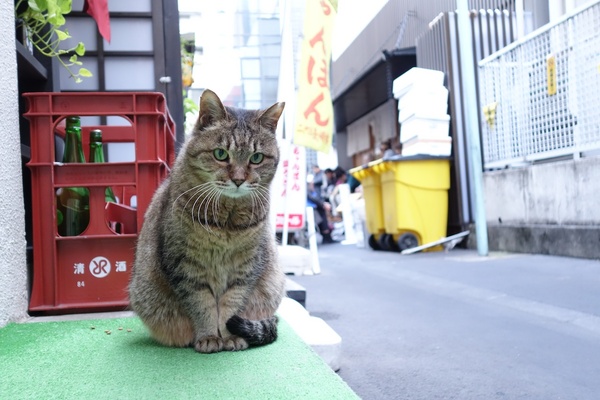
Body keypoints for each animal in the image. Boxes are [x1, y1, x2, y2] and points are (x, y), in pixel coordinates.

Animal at [128, 90, 286, 354]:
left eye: (256, 158)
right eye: (221, 154)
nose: (239, 180)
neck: (227, 222)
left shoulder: (246, 267)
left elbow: (232, 304)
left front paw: (230, 335)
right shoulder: (185, 266)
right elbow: (202, 305)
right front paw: (210, 336)